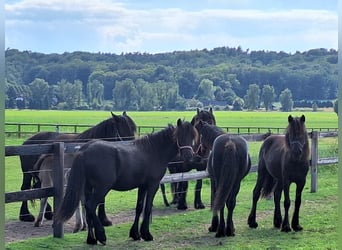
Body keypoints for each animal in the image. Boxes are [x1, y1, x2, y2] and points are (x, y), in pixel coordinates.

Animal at [56, 118, 198, 244]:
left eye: (193, 136)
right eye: (180, 135)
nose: (188, 157)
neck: (153, 151)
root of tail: (84, 151)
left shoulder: (142, 186)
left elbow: (139, 208)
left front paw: (135, 234)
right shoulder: (153, 185)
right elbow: (147, 208)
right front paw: (146, 234)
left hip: (88, 187)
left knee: (88, 208)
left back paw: (91, 239)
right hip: (102, 188)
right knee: (91, 206)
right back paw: (101, 236)